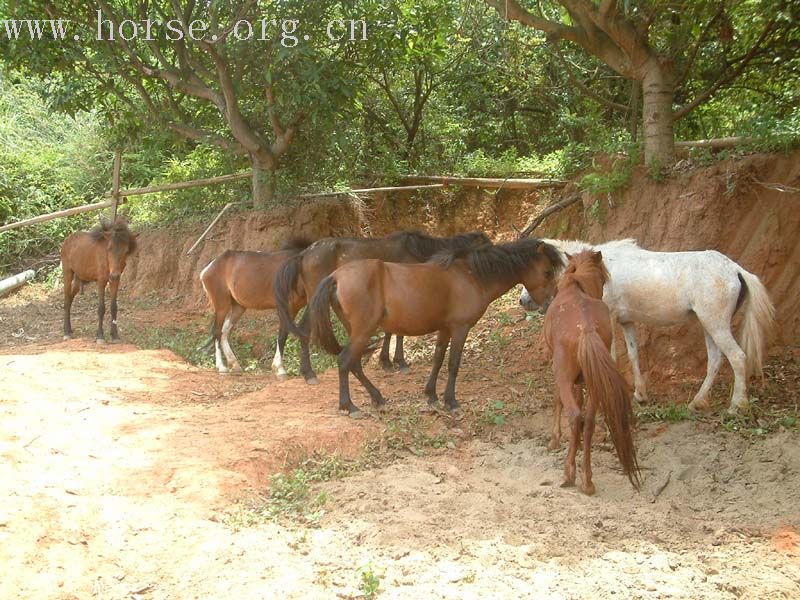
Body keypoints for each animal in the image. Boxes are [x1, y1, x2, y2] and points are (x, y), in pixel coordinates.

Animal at [198, 238, 310, 376]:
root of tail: (207, 269)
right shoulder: (286, 308)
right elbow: (282, 335)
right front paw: (279, 368)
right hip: (221, 306)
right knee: (217, 331)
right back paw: (221, 367)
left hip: (238, 307)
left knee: (224, 332)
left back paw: (234, 364)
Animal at [274, 227, 488, 382]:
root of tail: (304, 254)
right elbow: (397, 332)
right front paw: (398, 362)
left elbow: (391, 330)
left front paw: (387, 361)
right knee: (304, 329)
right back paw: (309, 373)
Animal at [306, 238, 564, 418]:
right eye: (547, 272)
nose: (551, 302)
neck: (471, 276)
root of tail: (336, 277)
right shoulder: (460, 328)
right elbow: (453, 364)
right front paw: (451, 401)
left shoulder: (445, 329)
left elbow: (438, 359)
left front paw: (431, 395)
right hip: (363, 331)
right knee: (344, 361)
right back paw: (349, 406)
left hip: (357, 332)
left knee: (354, 364)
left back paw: (377, 398)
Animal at [520, 239, 776, 412]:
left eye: (541, 271)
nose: (523, 301)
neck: (594, 274)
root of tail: (734, 269)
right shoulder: (626, 322)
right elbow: (633, 356)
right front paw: (640, 395)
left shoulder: (608, 320)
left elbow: (612, 357)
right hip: (709, 325)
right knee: (715, 360)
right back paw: (697, 402)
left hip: (716, 324)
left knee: (737, 357)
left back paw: (736, 406)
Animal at [540, 250, 640, 496]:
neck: (574, 286)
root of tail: (585, 328)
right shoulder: (583, 380)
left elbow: (558, 400)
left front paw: (554, 440)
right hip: (596, 385)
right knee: (589, 421)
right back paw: (587, 479)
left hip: (564, 376)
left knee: (576, 415)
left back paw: (569, 474)